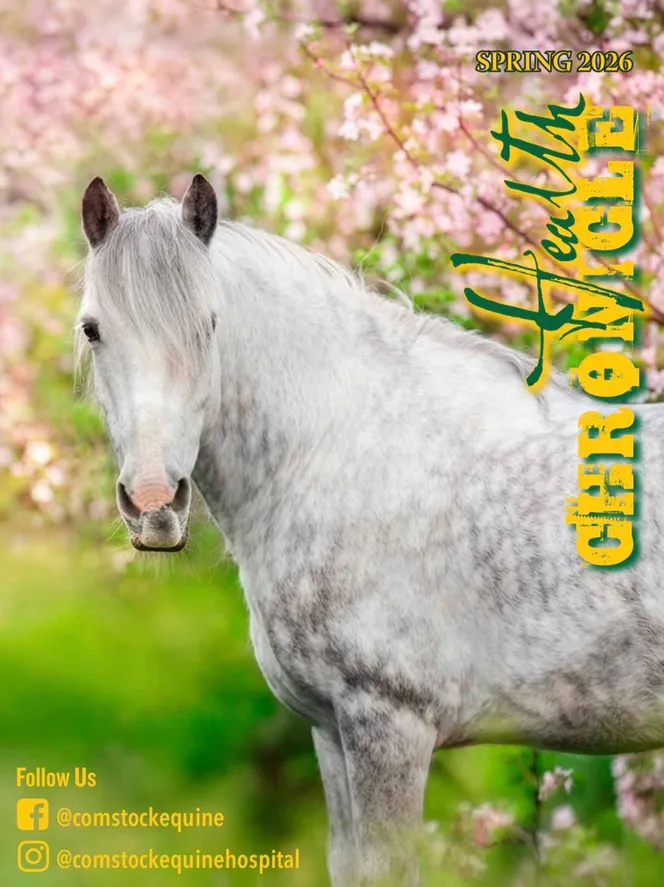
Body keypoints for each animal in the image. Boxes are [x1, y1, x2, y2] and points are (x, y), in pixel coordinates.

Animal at [78, 174, 664, 886]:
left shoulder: (389, 726)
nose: (155, 502)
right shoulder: (331, 731)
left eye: (209, 324)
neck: (343, 450)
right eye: (93, 329)